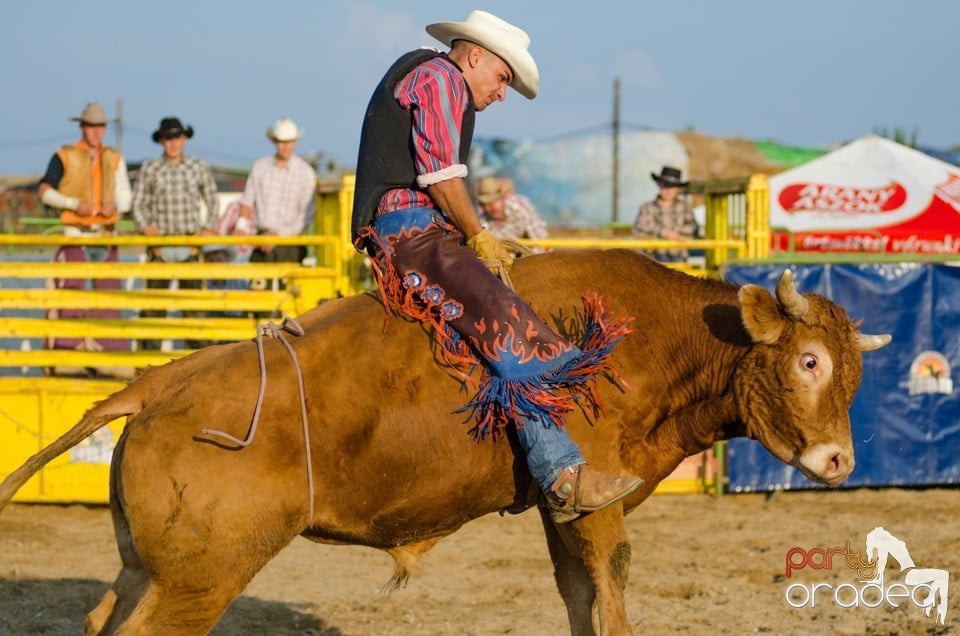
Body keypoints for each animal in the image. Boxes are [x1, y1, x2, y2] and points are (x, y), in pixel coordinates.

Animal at [0, 250, 892, 636]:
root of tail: (157, 384)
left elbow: (581, 594)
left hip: (148, 565)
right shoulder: (595, 501)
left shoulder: (560, 513)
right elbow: (609, 589)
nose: (841, 462)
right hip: (203, 576)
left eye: (851, 370)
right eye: (809, 361)